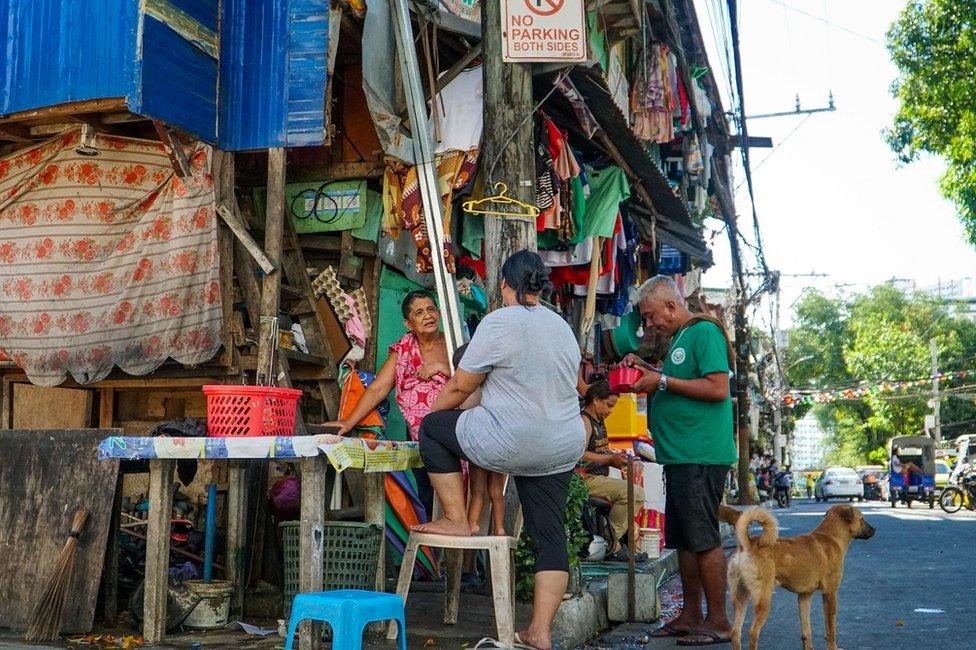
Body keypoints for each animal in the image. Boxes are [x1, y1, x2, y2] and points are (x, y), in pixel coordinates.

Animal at [716, 502, 876, 648]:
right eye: (862, 518)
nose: (875, 530)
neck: (830, 537)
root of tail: (747, 544)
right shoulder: (830, 594)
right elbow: (831, 630)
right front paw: (833, 647)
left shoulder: (804, 597)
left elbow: (806, 632)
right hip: (763, 600)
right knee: (752, 633)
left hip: (740, 597)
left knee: (736, 633)